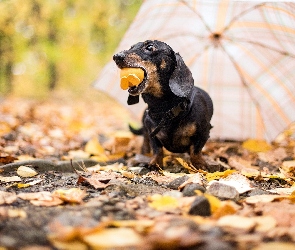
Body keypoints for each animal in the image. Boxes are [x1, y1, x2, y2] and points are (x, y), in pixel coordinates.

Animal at [112, 40, 213, 170]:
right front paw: (155, 163)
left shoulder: (204, 132)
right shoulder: (152, 133)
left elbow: (196, 150)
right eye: (131, 47)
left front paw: (199, 164)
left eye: (150, 47)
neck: (164, 109)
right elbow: (157, 150)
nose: (116, 56)